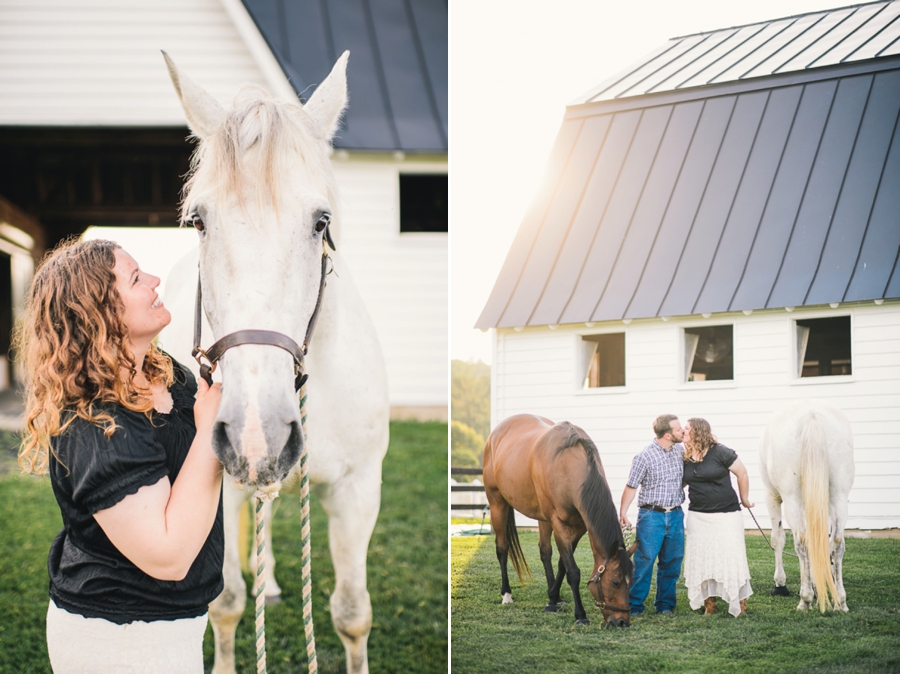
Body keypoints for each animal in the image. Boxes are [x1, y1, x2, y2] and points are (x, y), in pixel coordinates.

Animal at [158, 52, 390, 672]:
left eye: (320, 222)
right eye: (199, 221)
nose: (255, 433)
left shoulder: (359, 489)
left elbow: (352, 613)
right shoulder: (220, 487)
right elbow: (227, 603)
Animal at [482, 412, 636, 628]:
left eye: (632, 581)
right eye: (615, 581)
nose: (622, 622)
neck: (567, 466)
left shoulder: (579, 526)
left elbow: (563, 562)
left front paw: (553, 598)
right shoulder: (558, 523)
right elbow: (573, 571)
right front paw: (580, 615)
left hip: (542, 518)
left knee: (545, 551)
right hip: (498, 503)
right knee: (502, 548)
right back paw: (506, 594)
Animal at [760, 400, 852, 616]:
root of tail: (812, 418)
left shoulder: (772, 497)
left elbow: (778, 539)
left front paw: (780, 583)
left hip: (792, 498)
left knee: (802, 541)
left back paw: (806, 600)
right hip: (839, 495)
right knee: (837, 542)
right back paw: (840, 601)